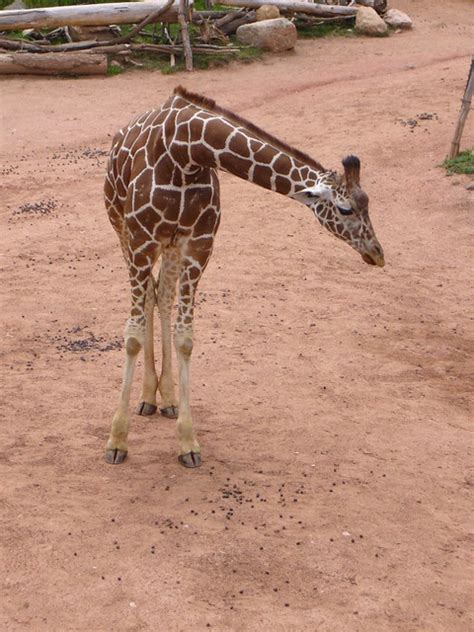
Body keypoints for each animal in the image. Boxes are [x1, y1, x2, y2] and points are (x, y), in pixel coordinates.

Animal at [103, 86, 386, 466]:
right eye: (345, 209)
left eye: (367, 202)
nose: (377, 253)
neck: (186, 153)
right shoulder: (140, 239)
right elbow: (131, 335)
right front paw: (117, 440)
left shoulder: (199, 244)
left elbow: (185, 337)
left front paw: (188, 441)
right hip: (121, 228)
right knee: (149, 297)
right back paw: (148, 397)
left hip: (170, 244)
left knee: (161, 295)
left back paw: (165, 398)